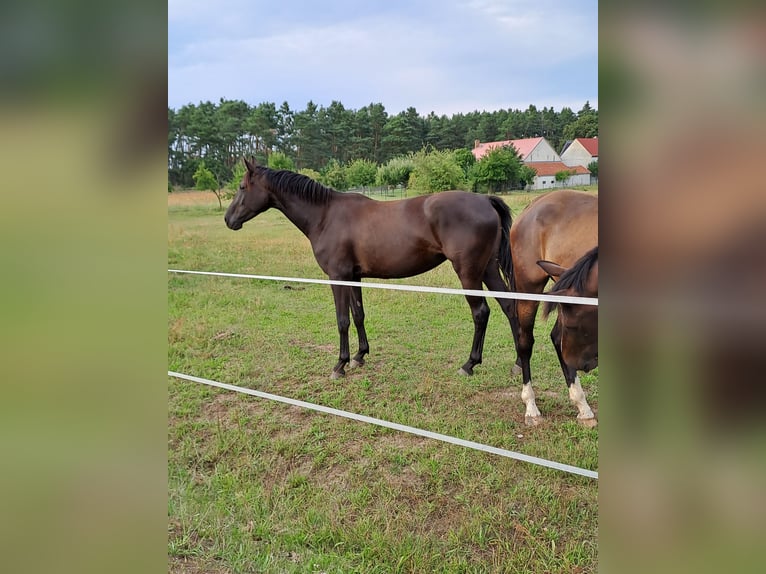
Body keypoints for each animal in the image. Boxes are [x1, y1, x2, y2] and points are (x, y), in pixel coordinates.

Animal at [225, 160, 520, 380]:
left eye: (242, 186)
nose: (228, 219)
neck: (325, 215)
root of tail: (485, 200)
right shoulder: (354, 277)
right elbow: (358, 315)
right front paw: (359, 356)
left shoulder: (338, 277)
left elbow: (342, 320)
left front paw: (340, 365)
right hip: (488, 269)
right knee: (510, 307)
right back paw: (518, 363)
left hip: (469, 272)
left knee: (481, 313)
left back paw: (469, 364)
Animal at [510, 190, 600, 428]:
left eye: (575, 325)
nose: (583, 364)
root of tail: (535, 203)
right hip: (529, 289)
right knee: (525, 342)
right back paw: (531, 406)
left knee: (556, 337)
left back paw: (582, 406)